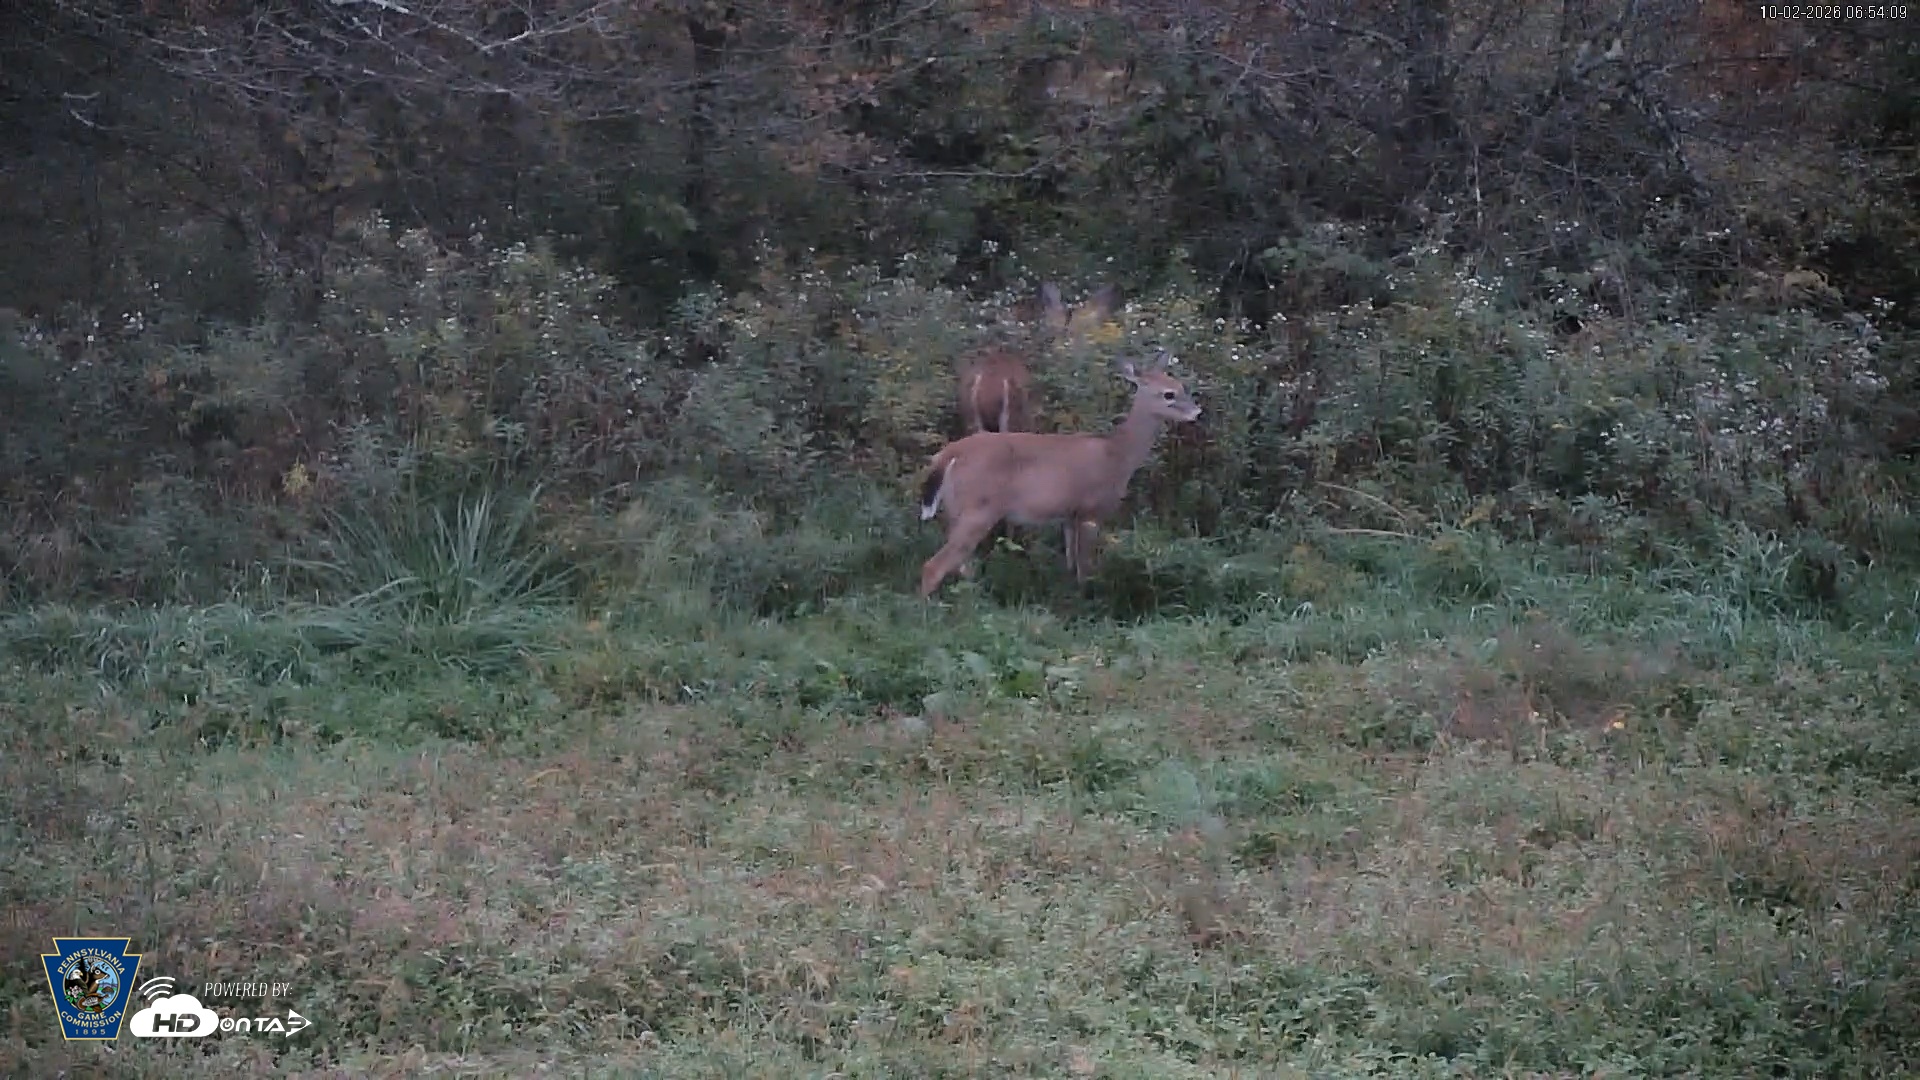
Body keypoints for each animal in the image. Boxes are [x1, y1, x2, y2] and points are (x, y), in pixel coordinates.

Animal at [918, 350, 1201, 598]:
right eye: (1168, 394)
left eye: (1180, 385)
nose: (1197, 411)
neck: (1118, 454)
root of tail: (947, 455)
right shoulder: (1090, 511)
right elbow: (1084, 568)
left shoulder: (1068, 515)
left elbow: (1070, 564)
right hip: (978, 509)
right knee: (934, 565)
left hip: (956, 510)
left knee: (960, 563)